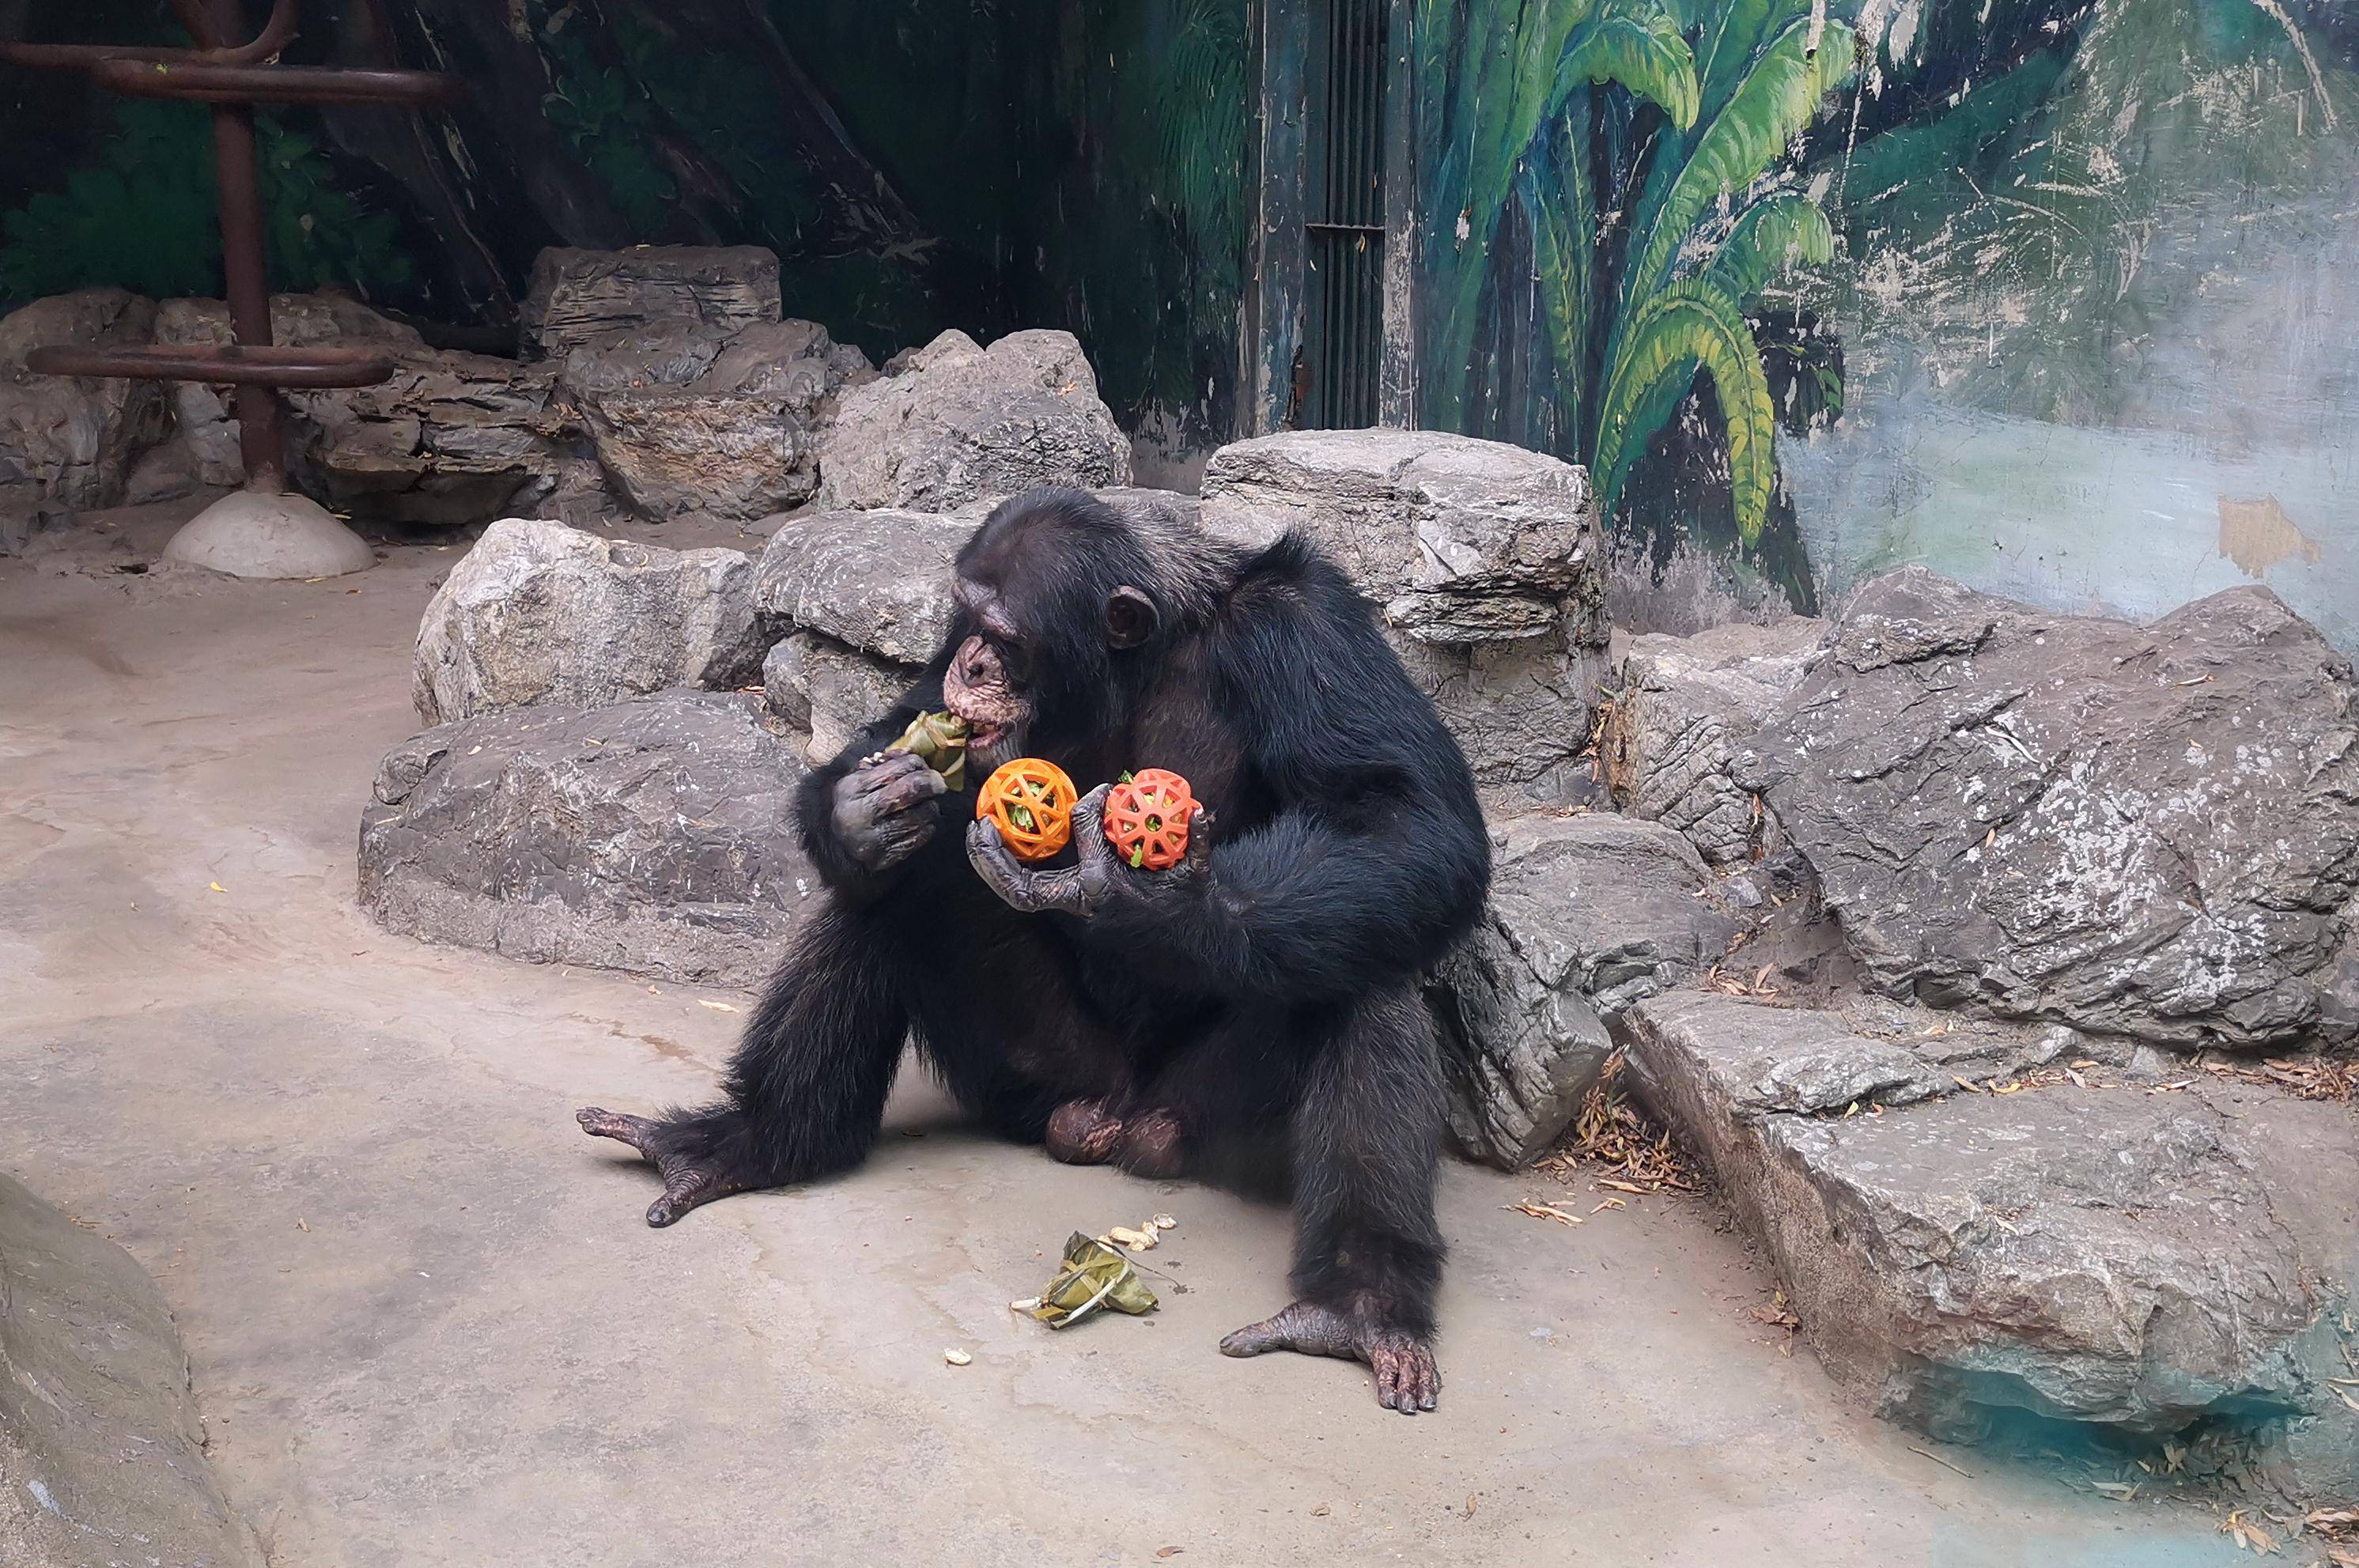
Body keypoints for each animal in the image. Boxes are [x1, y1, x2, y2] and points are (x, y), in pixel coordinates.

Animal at [573, 483, 1481, 1415]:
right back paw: (747, 1141)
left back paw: (1359, 1306)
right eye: (965, 620)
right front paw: (861, 811)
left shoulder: (1308, 627)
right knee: (895, 888)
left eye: (1005, 638)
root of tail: (1117, 1122)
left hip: (1201, 1117)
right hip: (1033, 1080)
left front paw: (1145, 899)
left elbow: (1398, 814)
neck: (1134, 666)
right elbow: (902, 725)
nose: (972, 665)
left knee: (1358, 963)